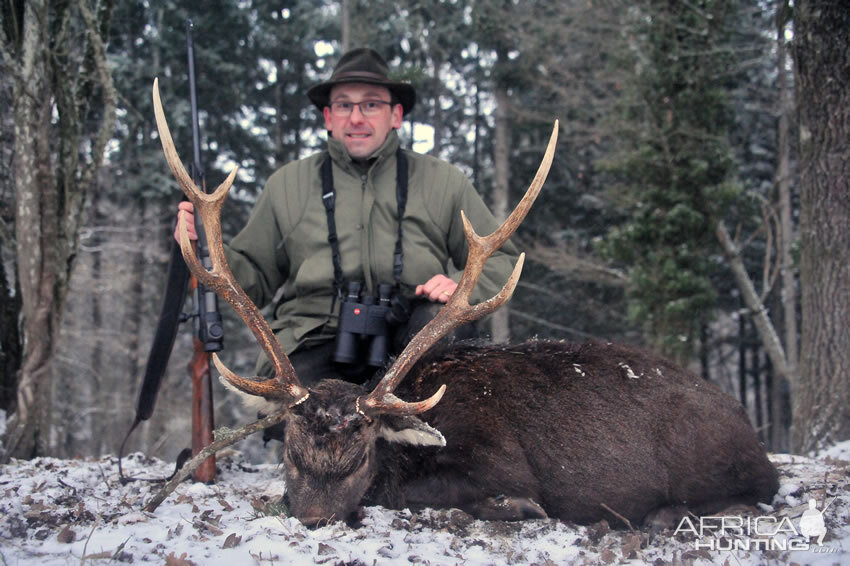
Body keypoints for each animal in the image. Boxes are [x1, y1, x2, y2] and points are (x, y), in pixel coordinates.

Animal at [151, 77, 776, 532]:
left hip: (718, 466)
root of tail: (753, 433)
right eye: (291, 453)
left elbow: (448, 495)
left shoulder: (497, 461)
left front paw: (516, 507)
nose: (314, 517)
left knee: (754, 498)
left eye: (361, 452)